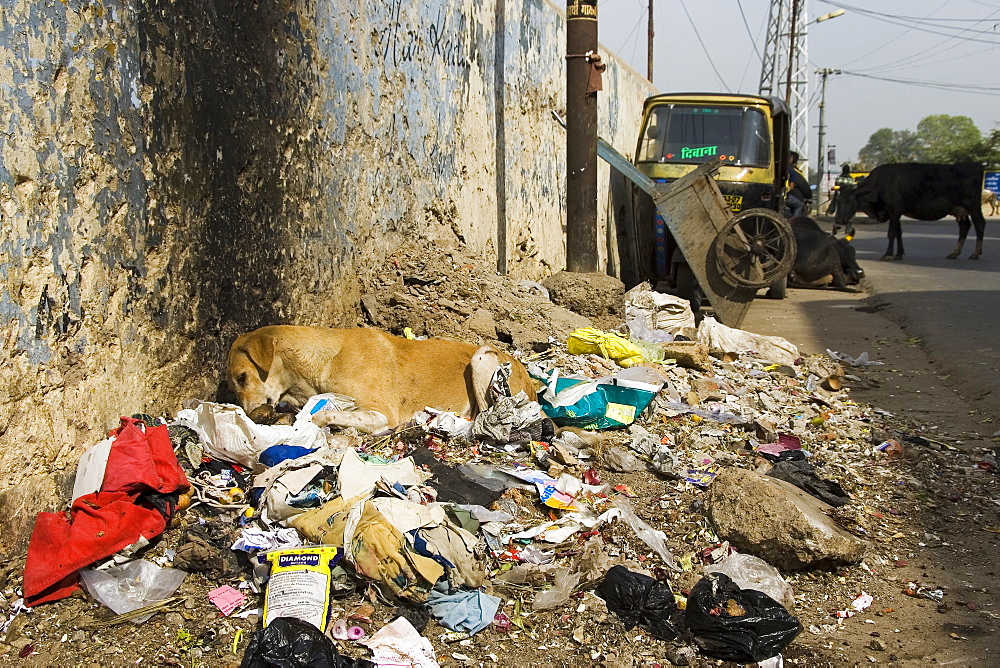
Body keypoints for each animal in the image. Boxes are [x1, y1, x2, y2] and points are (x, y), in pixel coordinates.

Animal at [228, 324, 540, 434]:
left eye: (242, 377)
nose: (249, 417)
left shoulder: (381, 413)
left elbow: (323, 415)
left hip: (482, 356)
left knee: (483, 417)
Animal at [832, 163, 988, 262]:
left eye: (850, 202)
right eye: (838, 201)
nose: (838, 220)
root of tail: (977, 165)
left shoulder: (894, 211)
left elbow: (891, 233)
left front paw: (888, 254)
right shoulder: (897, 212)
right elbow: (899, 233)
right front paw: (899, 254)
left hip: (973, 205)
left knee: (980, 224)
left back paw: (976, 253)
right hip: (959, 209)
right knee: (964, 227)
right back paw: (955, 253)